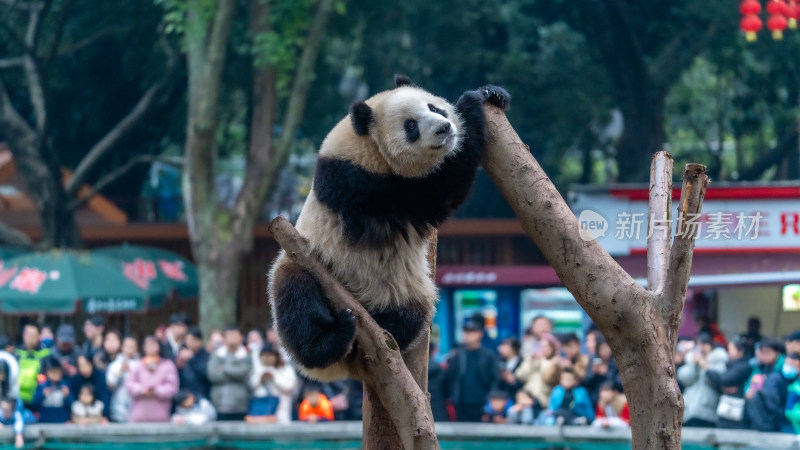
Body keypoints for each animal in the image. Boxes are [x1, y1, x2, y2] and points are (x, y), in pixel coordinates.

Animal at [266, 74, 510, 380]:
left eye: (434, 107)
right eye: (411, 125)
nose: (444, 127)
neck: (368, 146)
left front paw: (493, 93)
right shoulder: (359, 184)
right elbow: (438, 192)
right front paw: (471, 105)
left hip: (405, 292)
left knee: (410, 315)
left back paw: (384, 328)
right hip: (302, 262)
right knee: (297, 297)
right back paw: (332, 338)